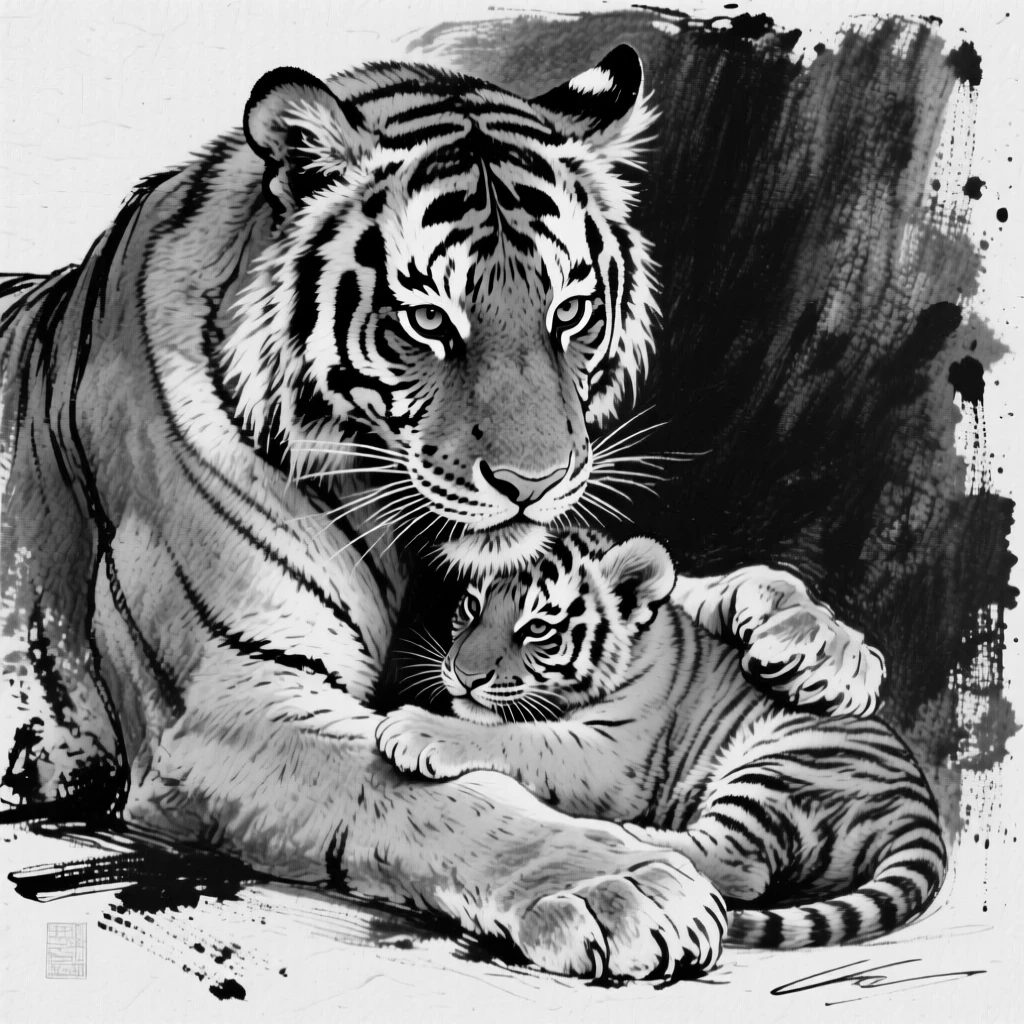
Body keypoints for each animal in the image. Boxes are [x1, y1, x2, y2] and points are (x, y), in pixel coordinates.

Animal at [0, 44, 885, 979]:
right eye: (428, 320)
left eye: (570, 311)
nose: (536, 480)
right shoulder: (222, 702)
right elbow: (424, 793)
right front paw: (620, 887)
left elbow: (642, 586)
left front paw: (815, 638)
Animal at [376, 528, 945, 949]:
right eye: (471, 608)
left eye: (538, 628)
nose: (462, 675)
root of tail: (923, 813)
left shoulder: (608, 754)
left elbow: (522, 738)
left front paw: (416, 728)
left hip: (779, 766)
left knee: (737, 864)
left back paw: (620, 838)